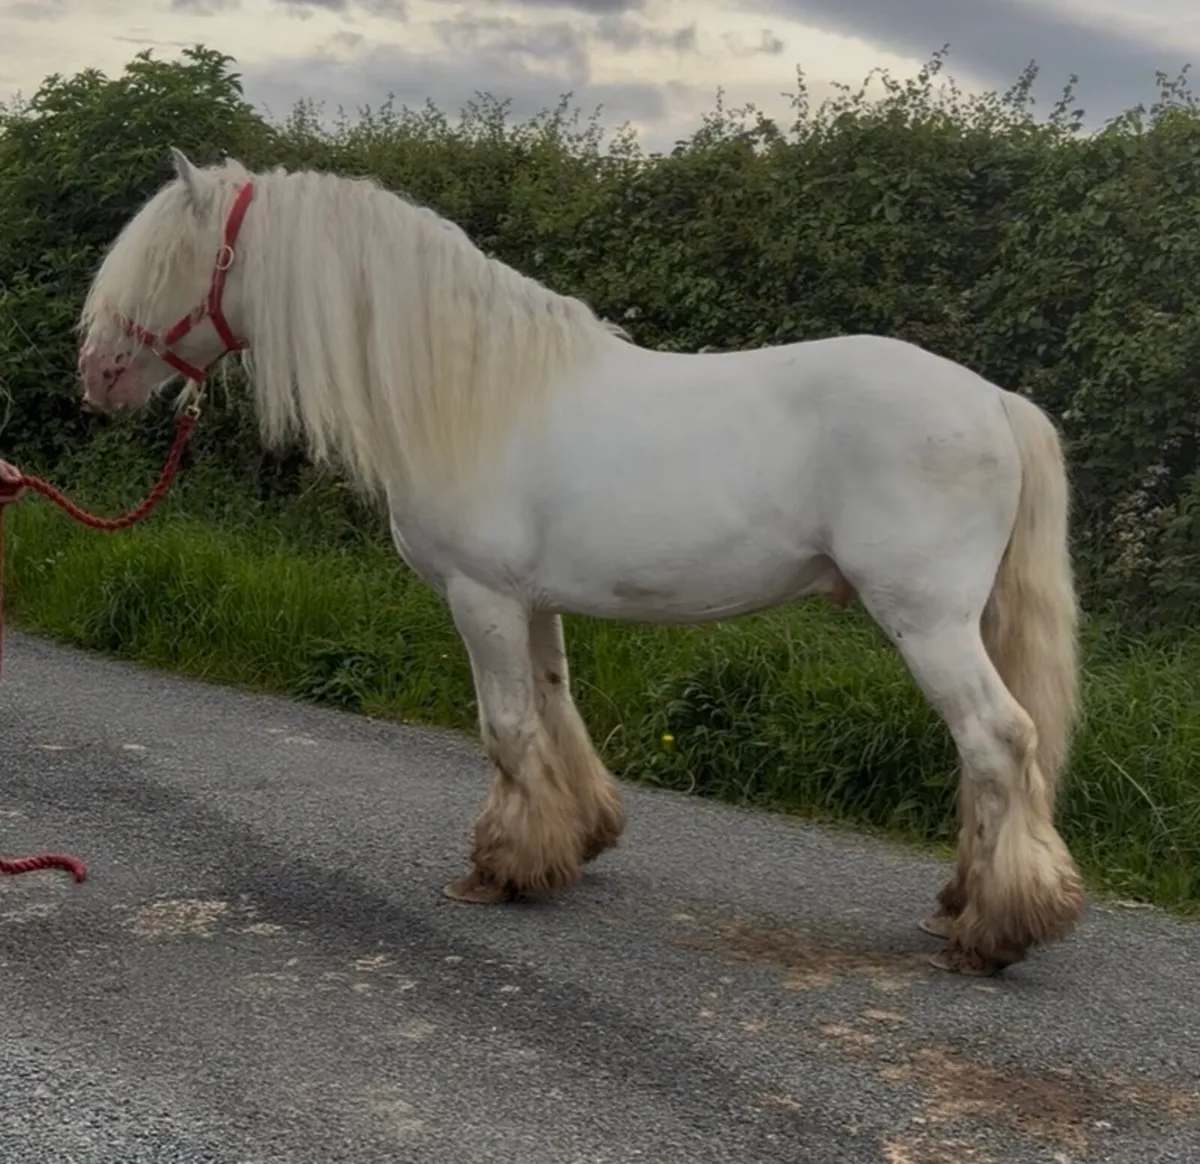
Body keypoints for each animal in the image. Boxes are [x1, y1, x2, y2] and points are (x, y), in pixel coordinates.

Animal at [74, 148, 1084, 977]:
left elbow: (507, 727)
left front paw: (500, 871)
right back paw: (961, 903)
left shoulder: (480, 596)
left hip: (928, 620)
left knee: (998, 740)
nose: (94, 375)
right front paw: (576, 840)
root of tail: (993, 400)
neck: (474, 391)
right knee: (989, 754)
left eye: (163, 261)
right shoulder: (532, 601)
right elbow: (557, 710)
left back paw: (992, 931)